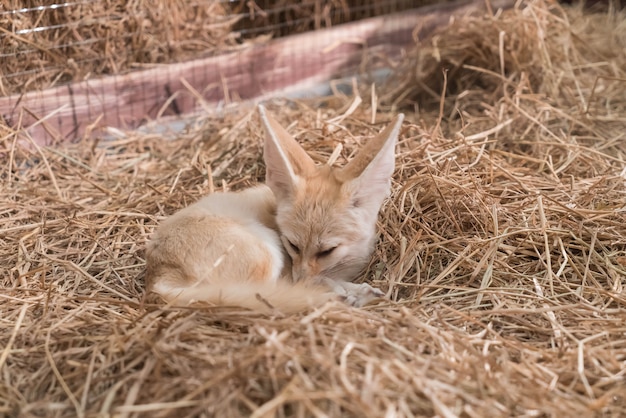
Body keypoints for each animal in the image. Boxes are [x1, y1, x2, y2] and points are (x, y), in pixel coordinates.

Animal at [144, 106, 402, 312]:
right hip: (266, 251)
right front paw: (342, 291)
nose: (301, 279)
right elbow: (313, 283)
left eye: (327, 251)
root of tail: (158, 274)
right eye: (293, 246)